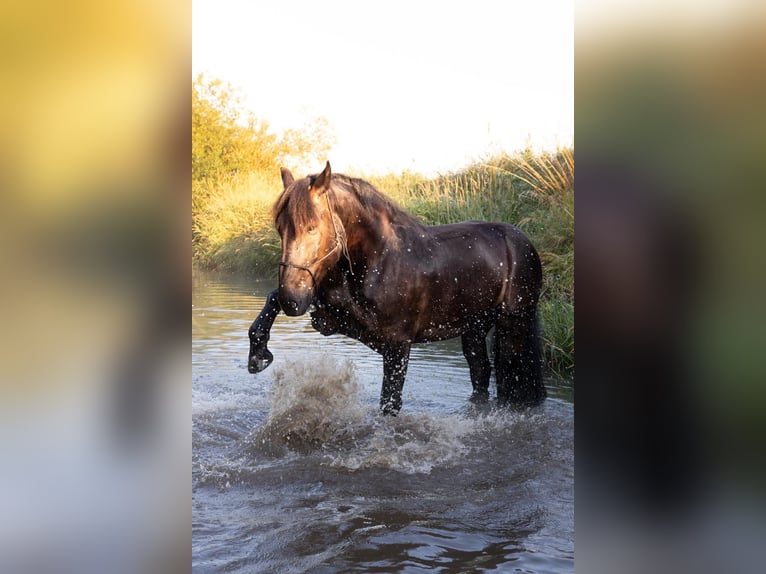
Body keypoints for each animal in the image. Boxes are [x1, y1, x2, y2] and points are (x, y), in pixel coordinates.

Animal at [248, 162, 545, 414]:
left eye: (311, 227)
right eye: (279, 228)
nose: (293, 298)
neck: (382, 259)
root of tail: (521, 241)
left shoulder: (397, 346)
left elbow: (389, 404)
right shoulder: (332, 318)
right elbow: (272, 298)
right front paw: (258, 354)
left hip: (514, 324)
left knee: (514, 373)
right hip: (474, 328)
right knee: (481, 373)